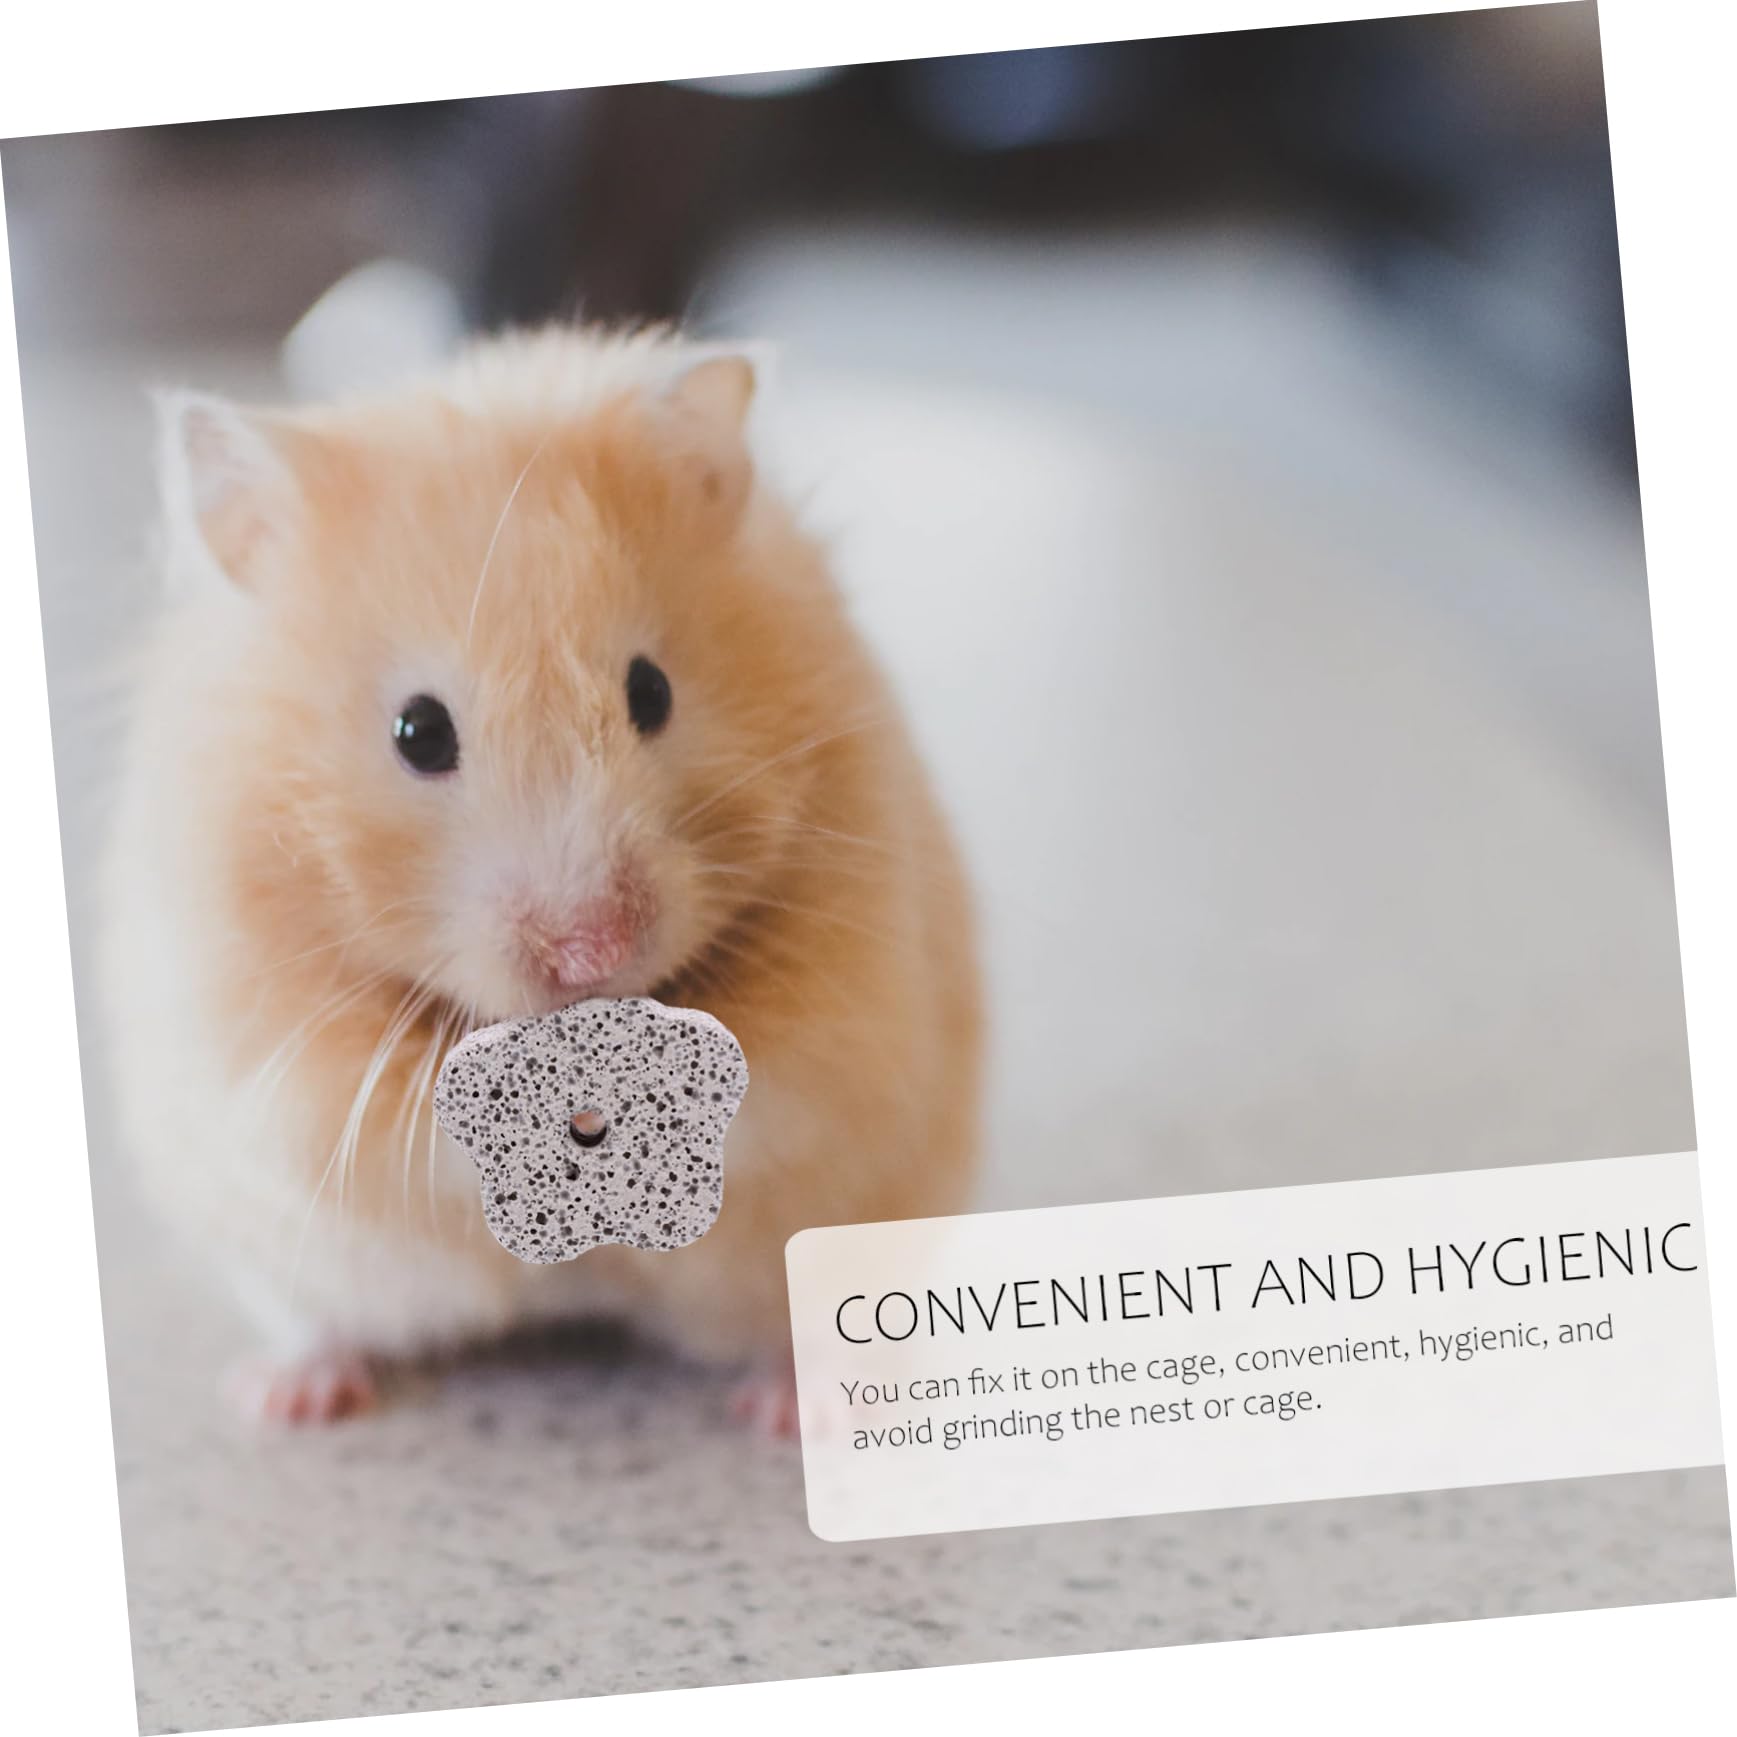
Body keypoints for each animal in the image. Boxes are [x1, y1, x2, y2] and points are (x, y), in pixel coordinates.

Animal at [98, 325, 983, 1427]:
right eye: (418, 732)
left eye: (652, 691)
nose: (592, 951)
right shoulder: (276, 1058)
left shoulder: (845, 1014)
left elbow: (761, 1094)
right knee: (322, 1321)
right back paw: (289, 1397)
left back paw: (789, 1409)